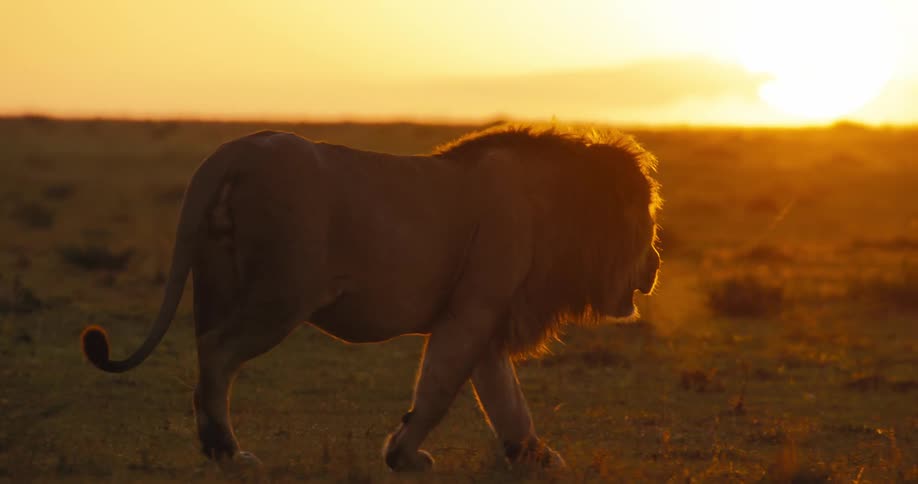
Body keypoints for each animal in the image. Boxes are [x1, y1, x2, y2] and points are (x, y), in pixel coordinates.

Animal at [81, 124, 661, 472]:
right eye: (648, 221)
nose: (656, 264)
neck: (557, 210)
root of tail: (235, 150)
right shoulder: (473, 308)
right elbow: (440, 387)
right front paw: (403, 456)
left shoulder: (487, 316)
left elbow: (504, 397)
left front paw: (535, 456)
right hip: (282, 295)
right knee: (217, 353)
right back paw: (229, 450)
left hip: (217, 283)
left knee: (206, 354)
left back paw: (211, 446)